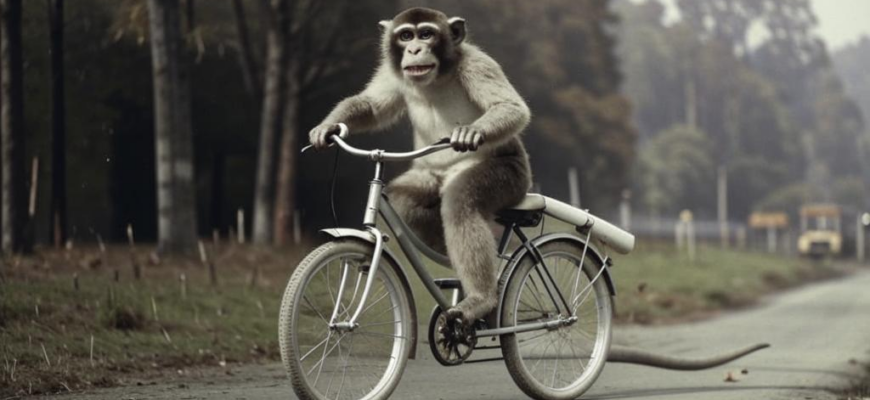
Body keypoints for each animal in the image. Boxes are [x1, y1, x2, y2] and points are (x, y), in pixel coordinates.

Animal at [309, 7, 532, 325]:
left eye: (426, 34)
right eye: (406, 36)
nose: (415, 49)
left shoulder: (478, 64)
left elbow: (510, 108)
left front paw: (469, 134)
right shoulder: (392, 72)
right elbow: (371, 104)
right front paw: (327, 127)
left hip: (511, 175)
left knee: (459, 204)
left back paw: (480, 298)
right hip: (430, 177)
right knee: (406, 201)